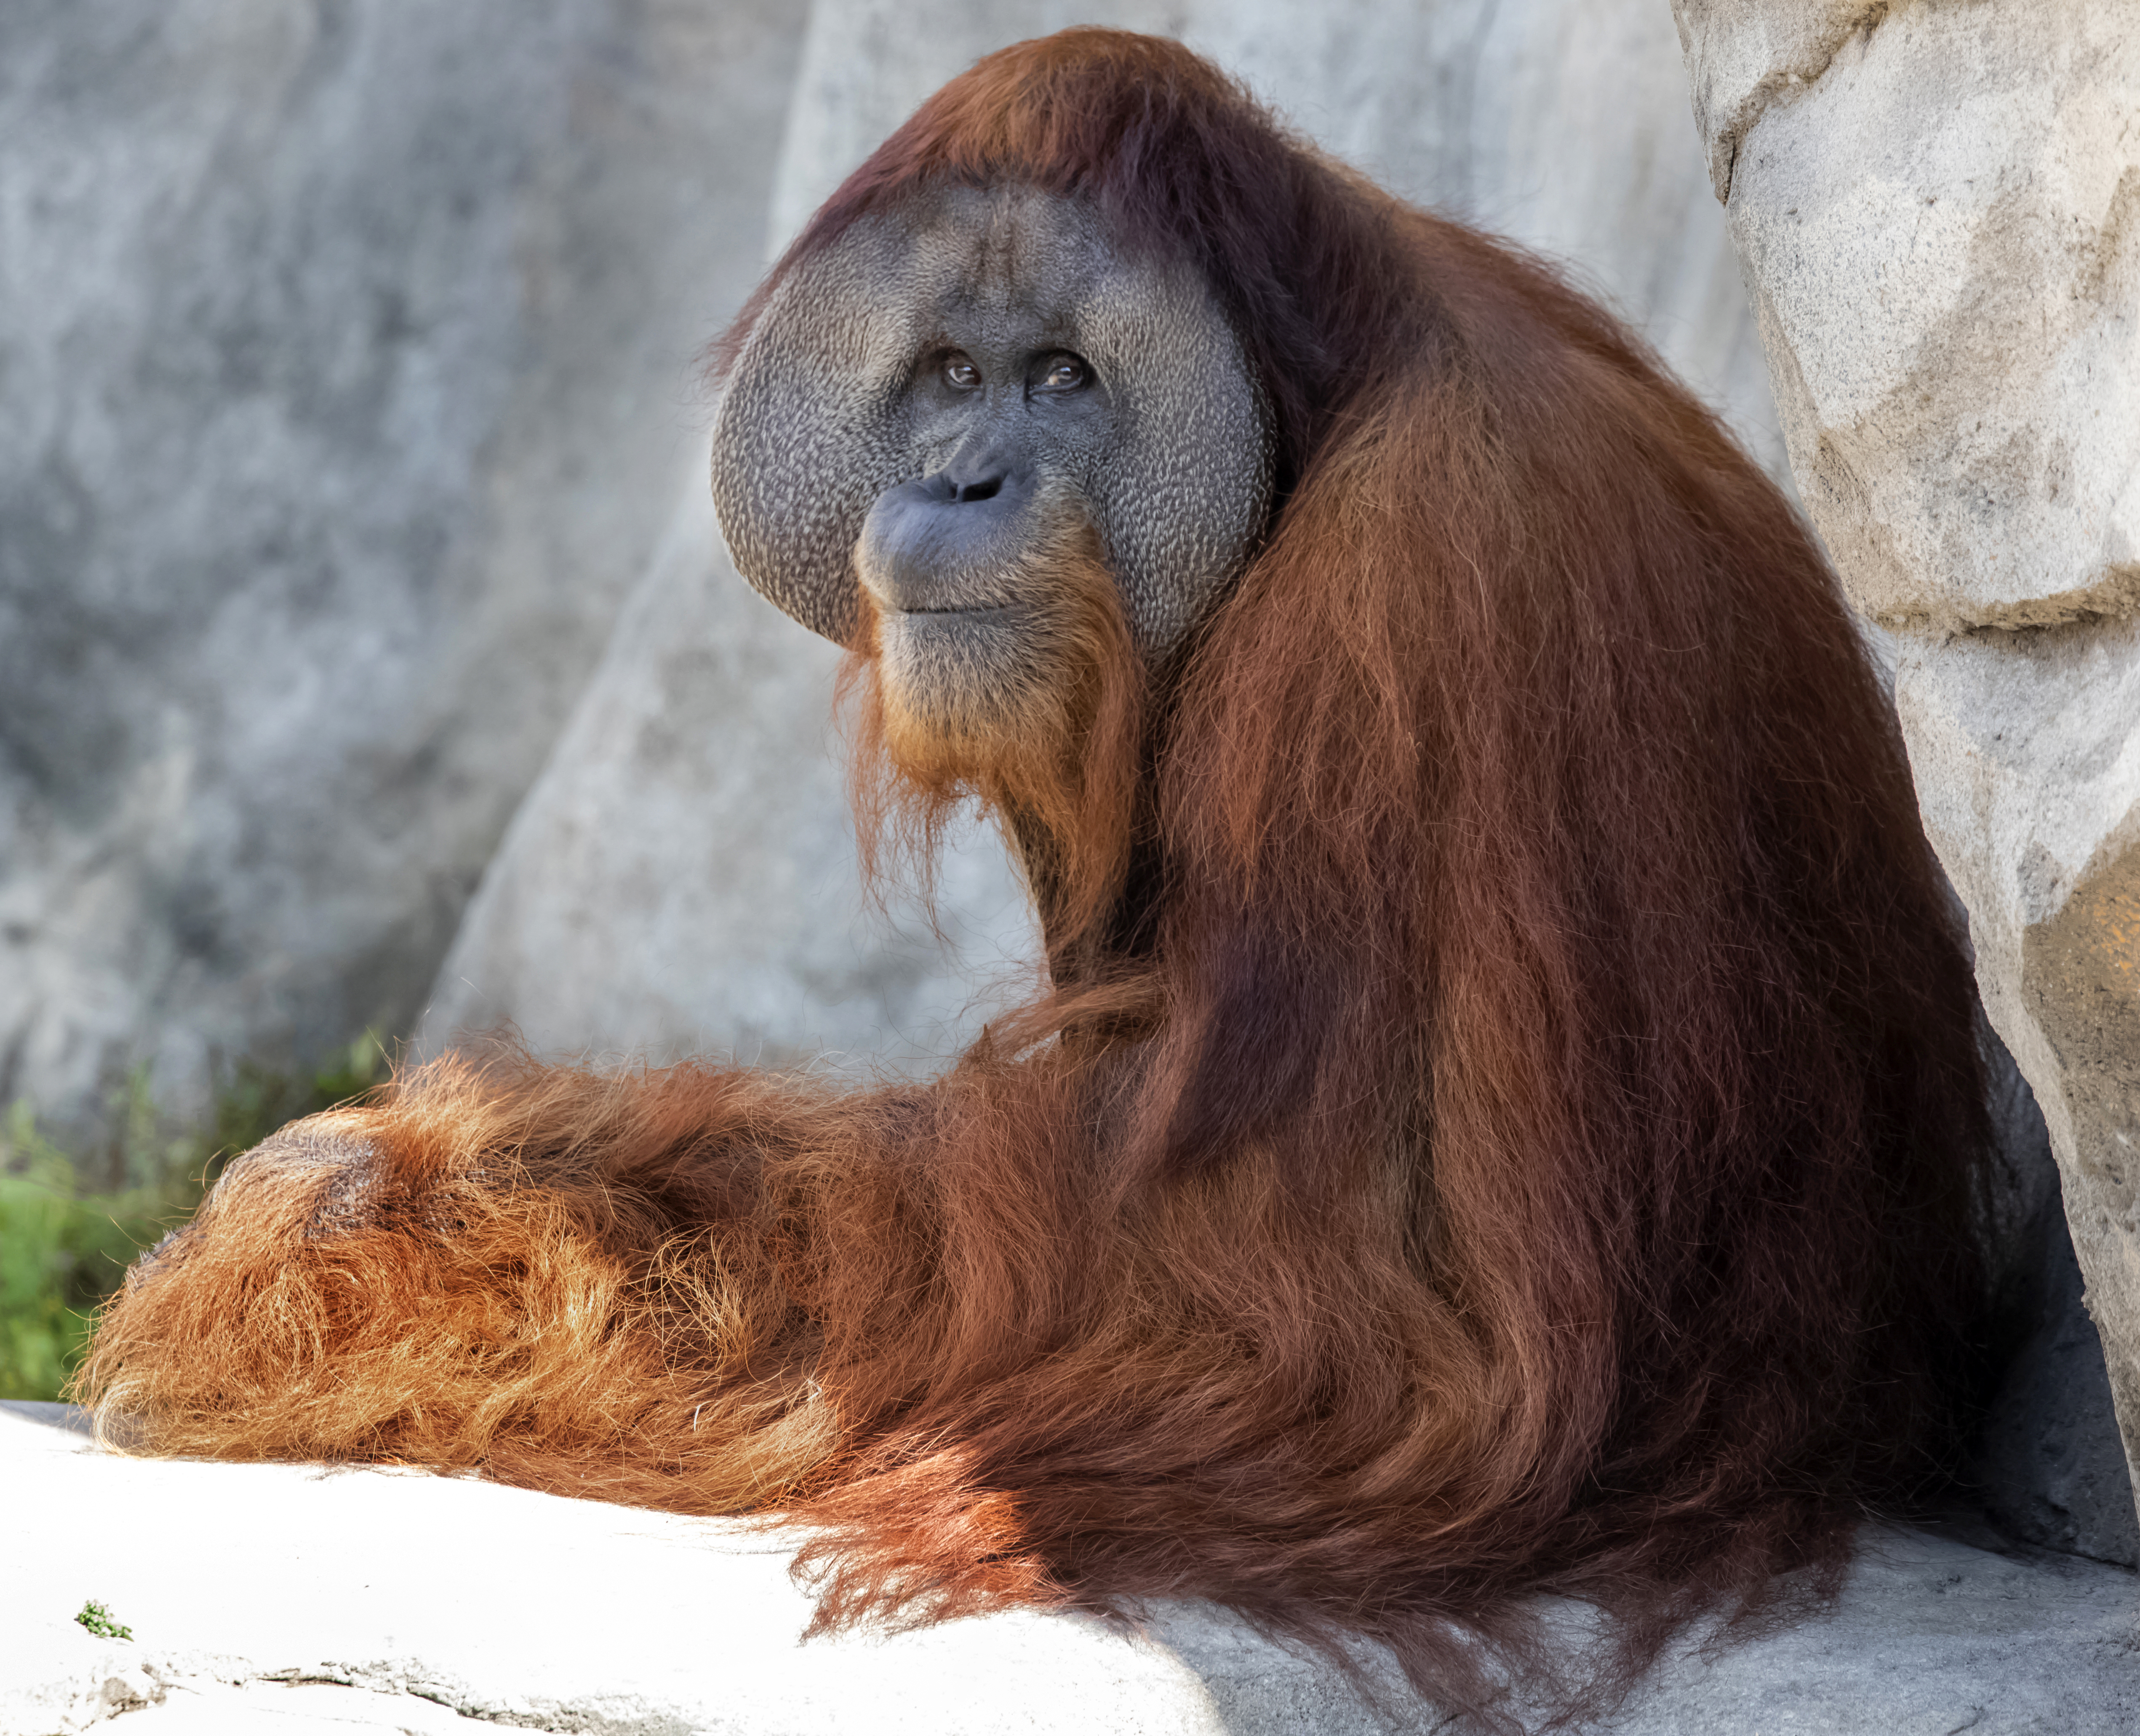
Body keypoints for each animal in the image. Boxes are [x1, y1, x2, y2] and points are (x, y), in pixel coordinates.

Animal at [78, 30, 1992, 1723]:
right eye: (946, 375)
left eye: (1064, 378)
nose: (962, 479)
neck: (1305, 432)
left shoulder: (1431, 587)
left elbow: (1302, 1268)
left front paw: (357, 1212)